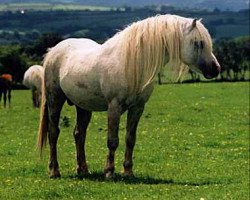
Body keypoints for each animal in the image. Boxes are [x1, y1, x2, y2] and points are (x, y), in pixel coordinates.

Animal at [37, 14, 221, 178]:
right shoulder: (114, 107)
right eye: (198, 43)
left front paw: (128, 172)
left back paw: (83, 170)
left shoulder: (137, 108)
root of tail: (53, 51)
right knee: (53, 132)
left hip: (83, 106)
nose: (216, 69)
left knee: (79, 134)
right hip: (55, 100)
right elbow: (112, 140)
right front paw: (109, 172)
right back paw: (54, 171)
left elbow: (130, 139)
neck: (132, 63)